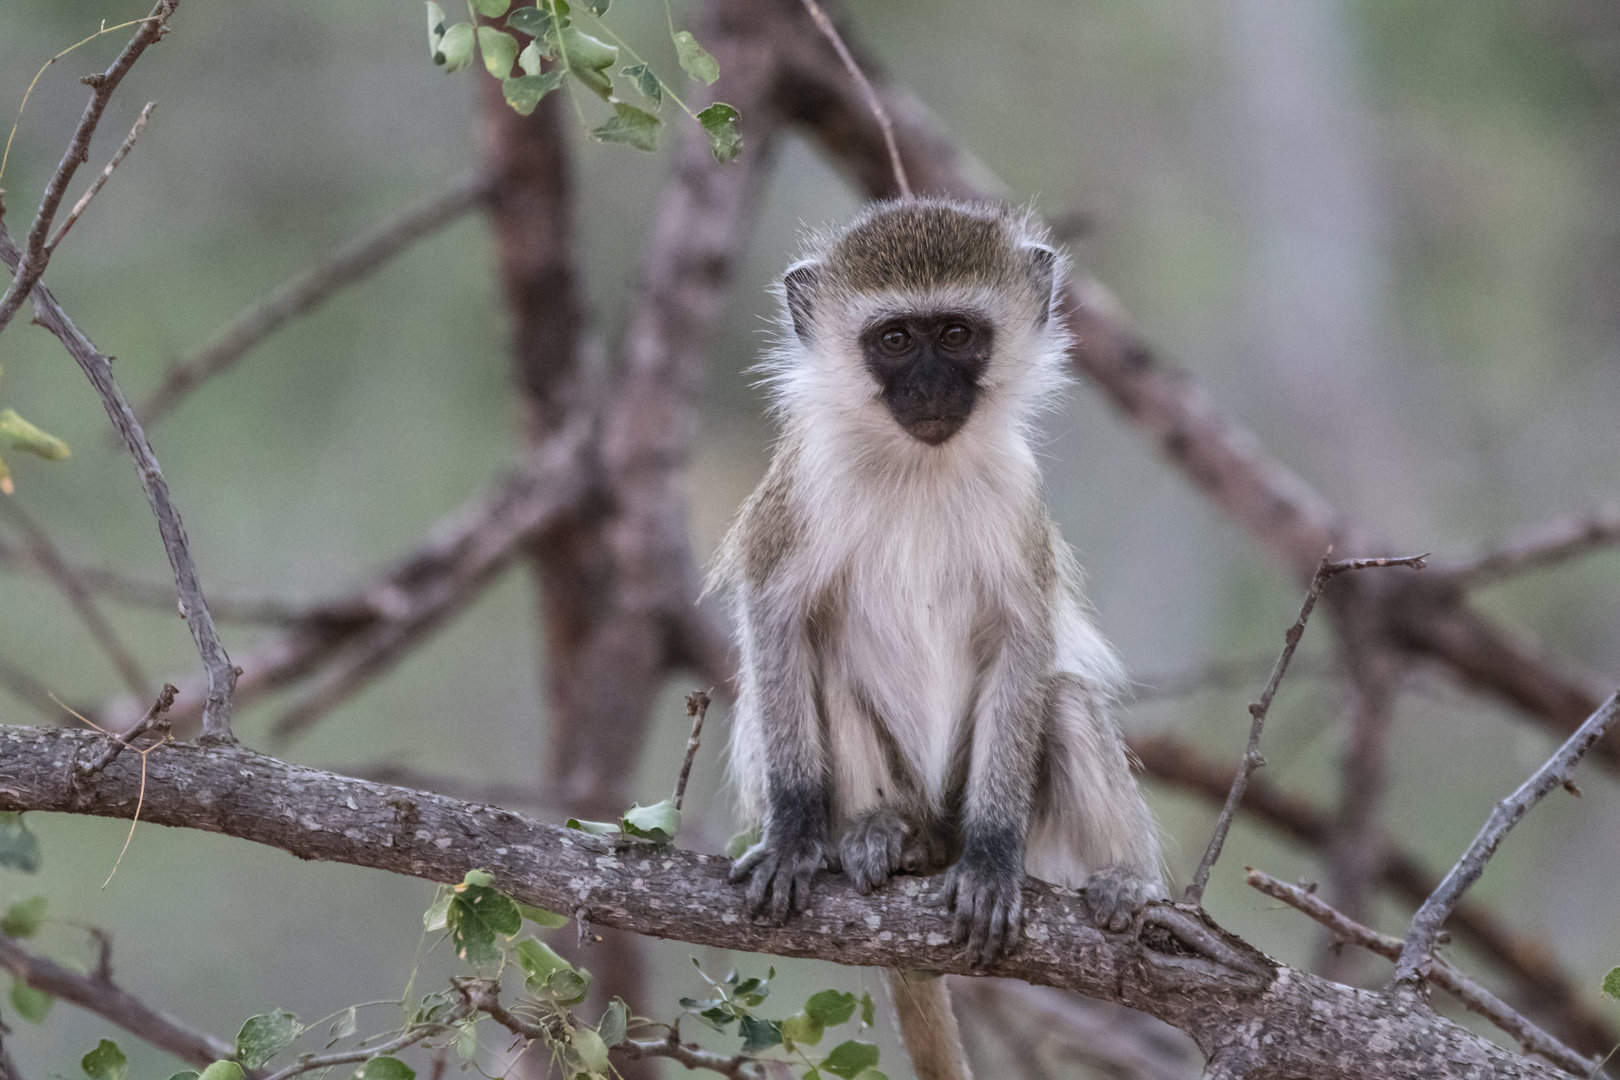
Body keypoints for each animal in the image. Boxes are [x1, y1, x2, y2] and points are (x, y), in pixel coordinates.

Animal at [709, 197, 1163, 1080]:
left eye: (956, 335)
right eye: (893, 340)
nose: (927, 385)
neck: (916, 465)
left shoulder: (1018, 497)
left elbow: (1027, 640)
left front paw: (990, 861)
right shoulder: (802, 487)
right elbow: (776, 614)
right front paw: (793, 833)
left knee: (1062, 700)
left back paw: (1123, 881)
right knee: (824, 667)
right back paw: (881, 834)